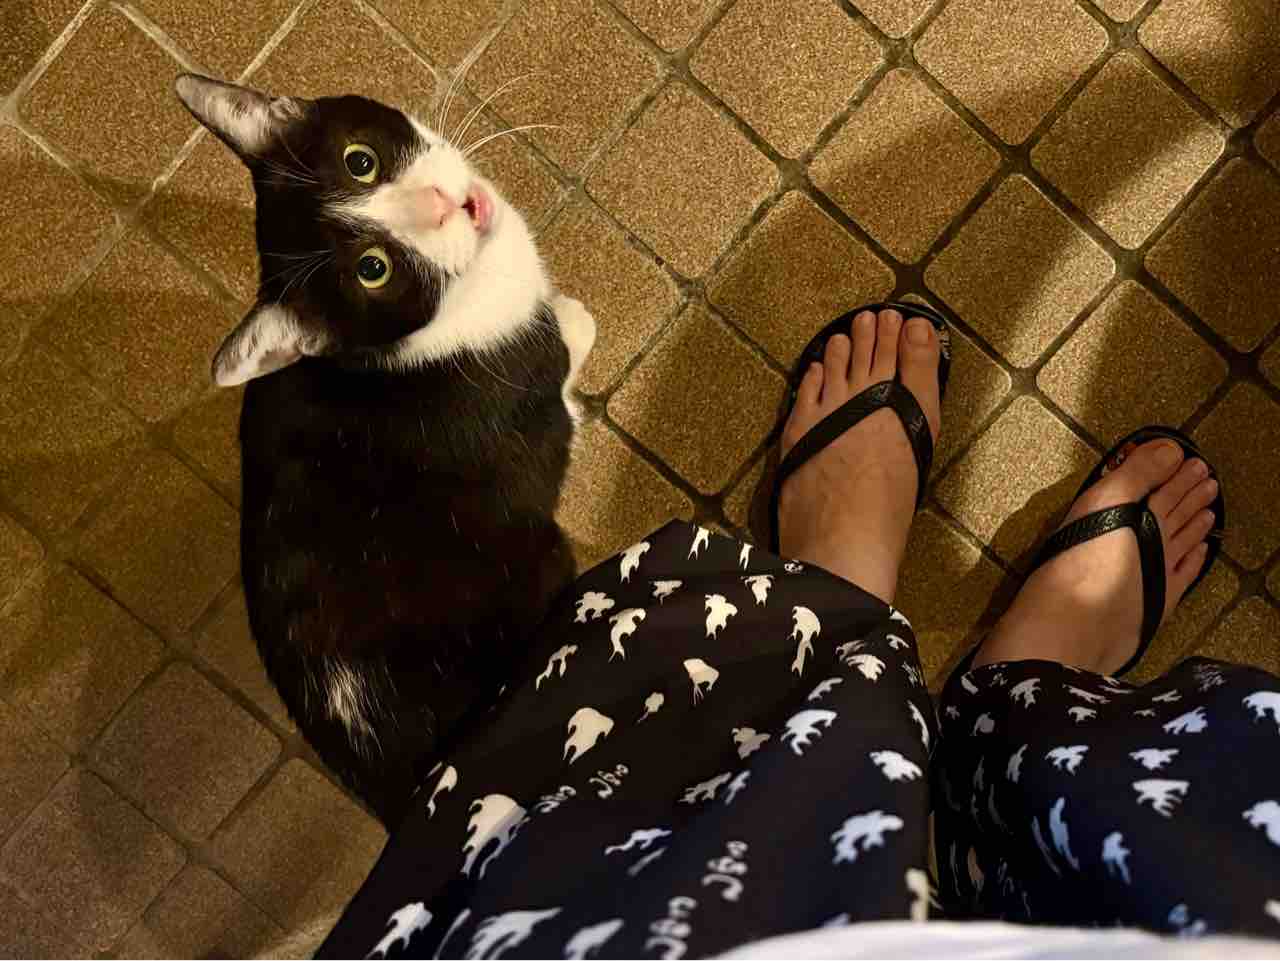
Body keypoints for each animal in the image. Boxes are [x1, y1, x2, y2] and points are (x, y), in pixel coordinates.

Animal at [174, 73, 596, 826]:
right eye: (374, 270)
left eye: (360, 161)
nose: (436, 206)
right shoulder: (533, 396)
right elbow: (569, 362)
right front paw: (578, 323)